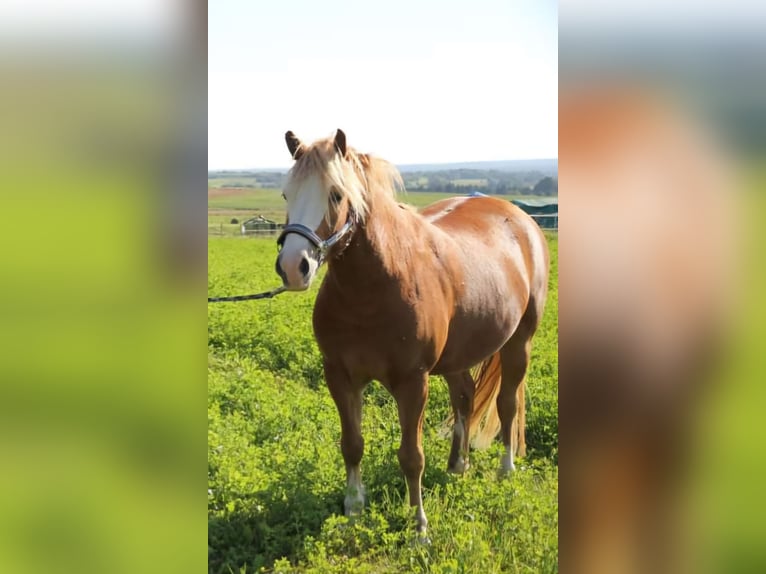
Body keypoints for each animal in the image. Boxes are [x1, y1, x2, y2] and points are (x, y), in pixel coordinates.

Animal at [276, 128, 552, 536]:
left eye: (336, 194)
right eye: (286, 194)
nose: (294, 267)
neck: (375, 286)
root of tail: (522, 219)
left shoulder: (412, 382)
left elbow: (411, 456)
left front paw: (419, 525)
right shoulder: (339, 375)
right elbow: (352, 444)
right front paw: (353, 509)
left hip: (519, 343)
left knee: (507, 404)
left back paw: (506, 469)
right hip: (459, 354)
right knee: (465, 397)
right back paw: (458, 466)